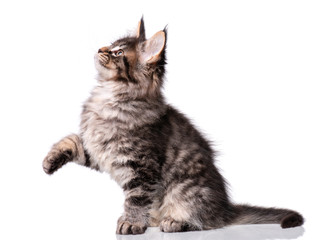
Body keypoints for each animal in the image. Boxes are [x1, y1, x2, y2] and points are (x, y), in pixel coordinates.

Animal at [42, 18, 304, 234]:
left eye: (118, 52)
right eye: (110, 45)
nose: (100, 49)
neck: (108, 96)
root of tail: (225, 208)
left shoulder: (141, 166)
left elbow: (136, 199)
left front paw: (132, 223)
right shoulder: (98, 150)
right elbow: (72, 141)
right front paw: (50, 161)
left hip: (185, 190)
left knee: (206, 222)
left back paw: (174, 222)